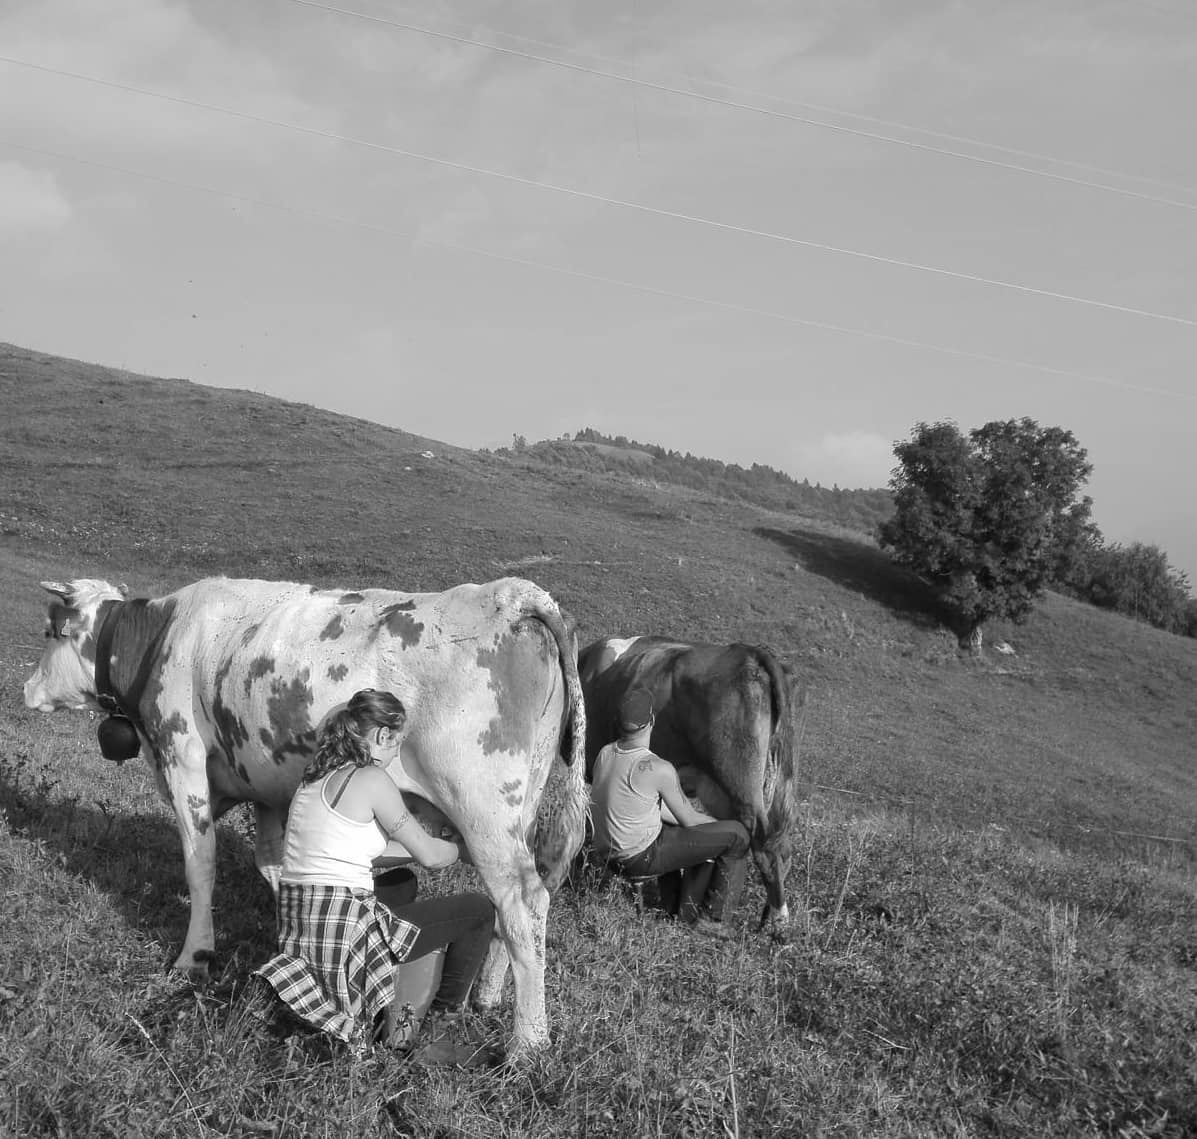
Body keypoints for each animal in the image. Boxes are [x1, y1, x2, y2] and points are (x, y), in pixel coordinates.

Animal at [23, 579, 588, 1048]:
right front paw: (288, 950)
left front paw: (194, 957)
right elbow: (275, 866)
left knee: (523, 900)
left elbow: (200, 865)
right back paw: (489, 996)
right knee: (515, 909)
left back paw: (528, 1043)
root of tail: (511, 594)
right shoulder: (268, 790)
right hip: (519, 811)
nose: (27, 690)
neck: (162, 637)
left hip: (483, 813)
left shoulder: (182, 760)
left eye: (51, 632)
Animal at [576, 636, 794, 928]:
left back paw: (776, 920)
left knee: (764, 844)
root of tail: (749, 653)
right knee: (776, 846)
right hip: (769, 785)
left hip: (740, 783)